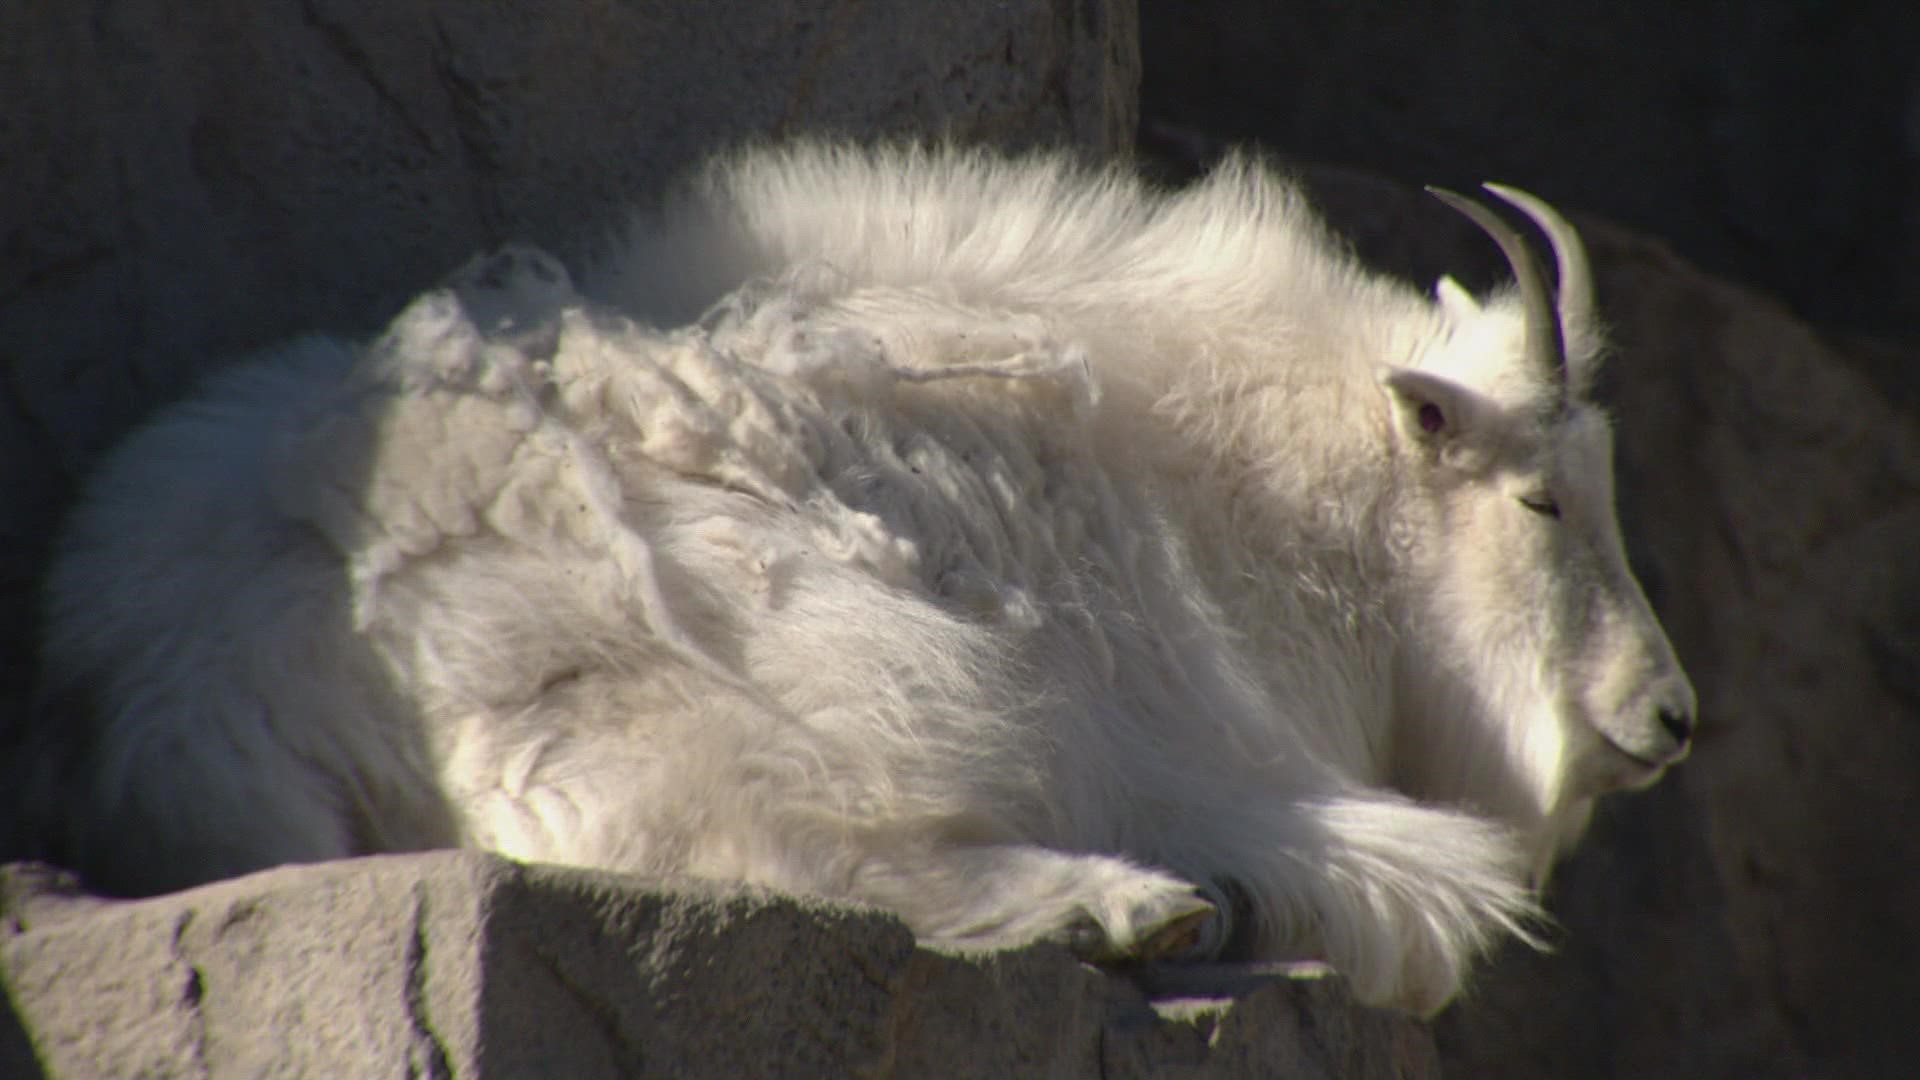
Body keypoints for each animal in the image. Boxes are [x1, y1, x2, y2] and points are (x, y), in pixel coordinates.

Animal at [37, 141, 1697, 1006]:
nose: (1669, 718)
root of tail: (200, 690)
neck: (1241, 496)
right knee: (793, 856)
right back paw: (1138, 907)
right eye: (1546, 499)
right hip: (790, 693)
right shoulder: (1184, 736)